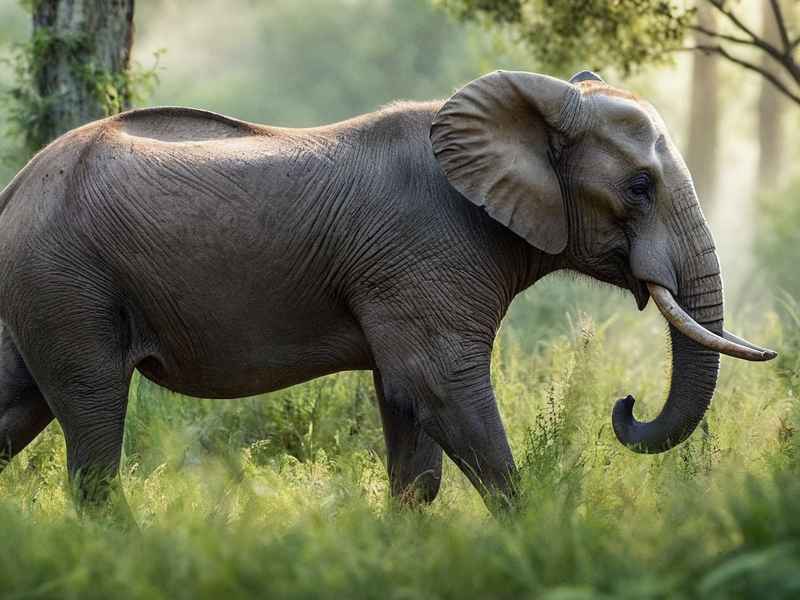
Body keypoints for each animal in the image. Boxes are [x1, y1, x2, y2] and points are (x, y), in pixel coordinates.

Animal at [0, 69, 775, 516]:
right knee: (92, 417)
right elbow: (437, 388)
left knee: (17, 404)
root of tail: (18, 183)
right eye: (639, 186)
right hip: (66, 279)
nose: (625, 405)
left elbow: (409, 419)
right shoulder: (427, 255)